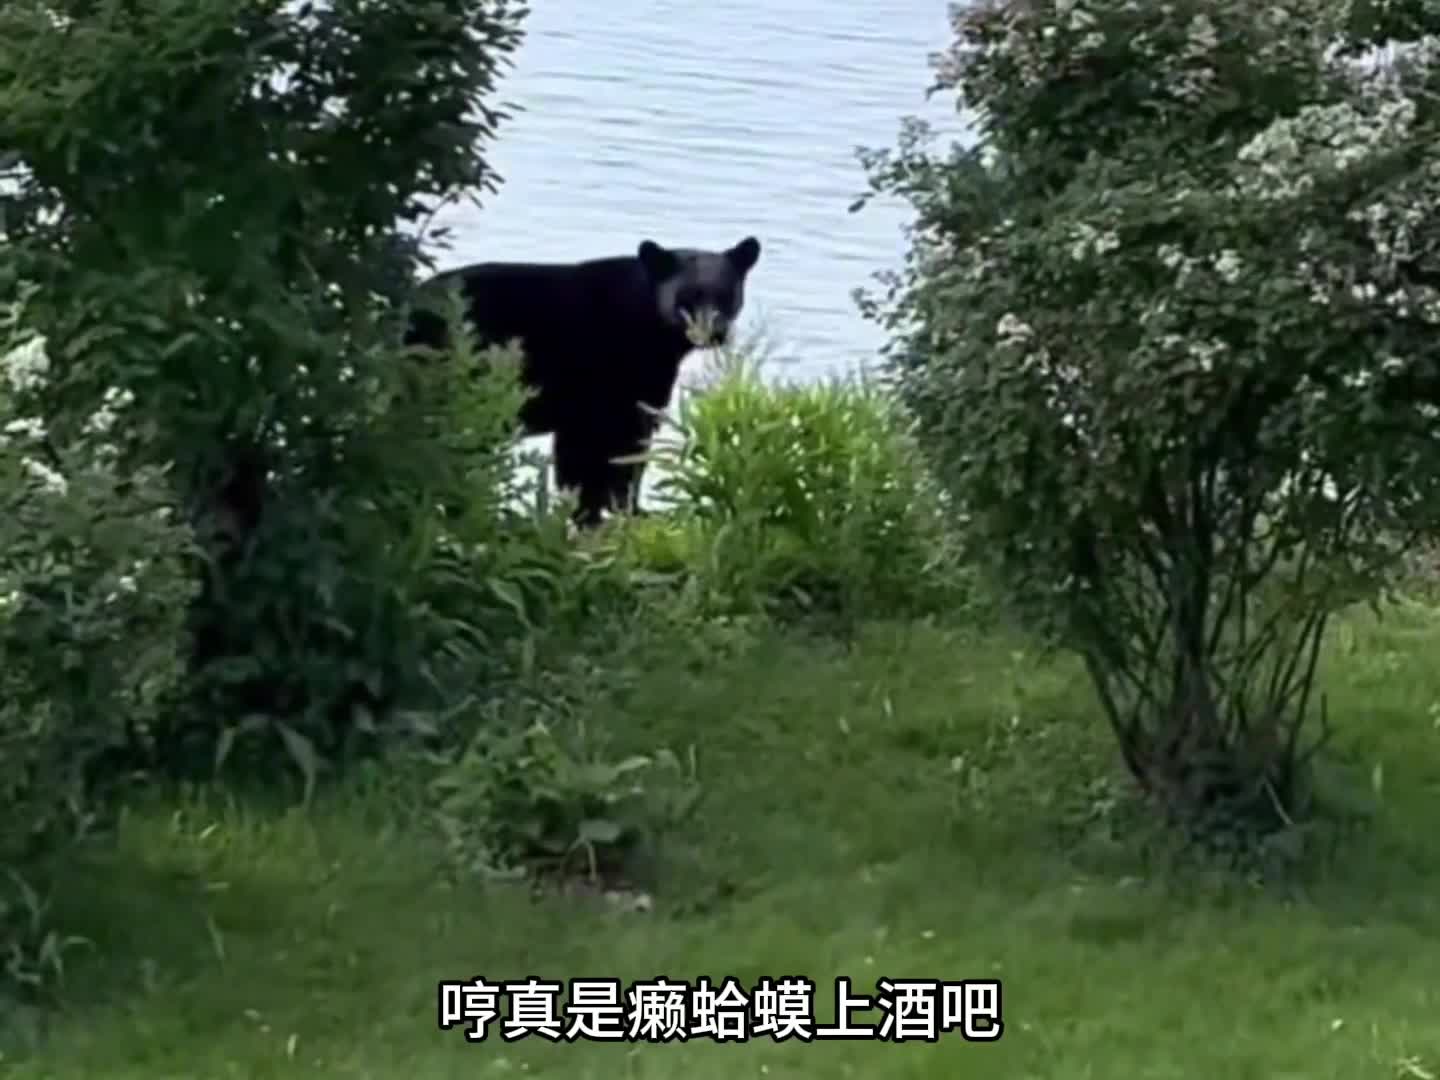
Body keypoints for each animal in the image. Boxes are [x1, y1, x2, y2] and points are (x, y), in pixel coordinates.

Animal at [403, 235, 762, 527]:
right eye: (687, 296)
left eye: (726, 295)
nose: (713, 333)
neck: (652, 329)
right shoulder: (607, 384)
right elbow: (611, 453)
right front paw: (614, 510)